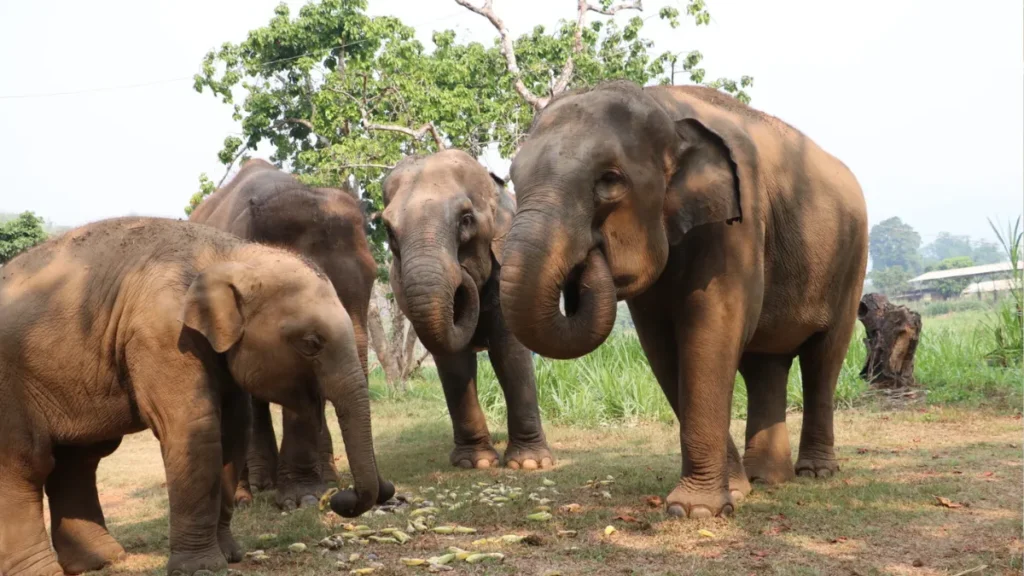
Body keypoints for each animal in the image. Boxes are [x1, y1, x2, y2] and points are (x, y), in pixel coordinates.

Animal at [0, 217, 393, 576]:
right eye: (311, 343)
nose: (340, 497)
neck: (228, 254)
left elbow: (233, 433)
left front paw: (231, 556)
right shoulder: (164, 334)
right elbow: (195, 430)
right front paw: (201, 568)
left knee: (79, 460)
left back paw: (103, 560)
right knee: (24, 463)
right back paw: (43, 571)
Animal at [380, 150, 553, 469]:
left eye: (466, 220)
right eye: (388, 230)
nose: (462, 274)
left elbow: (509, 351)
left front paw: (529, 464)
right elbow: (453, 360)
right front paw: (477, 463)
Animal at [499, 81, 868, 519]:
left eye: (610, 180)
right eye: (513, 178)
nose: (586, 260)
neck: (664, 106)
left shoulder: (738, 224)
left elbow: (711, 330)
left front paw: (697, 510)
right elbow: (662, 347)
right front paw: (734, 492)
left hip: (852, 263)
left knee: (823, 360)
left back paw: (815, 472)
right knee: (766, 365)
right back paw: (766, 478)